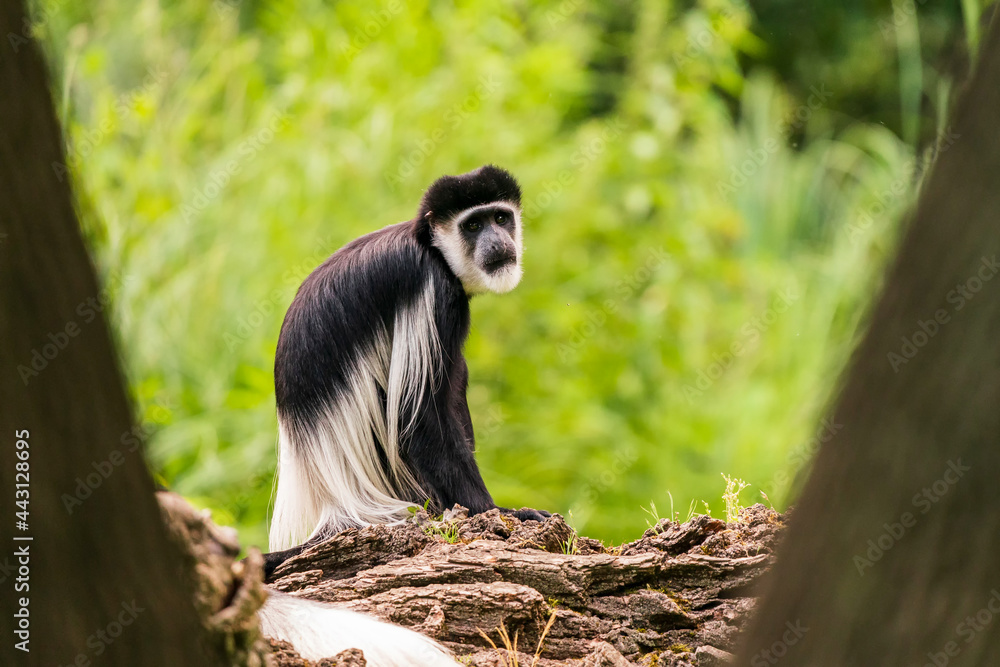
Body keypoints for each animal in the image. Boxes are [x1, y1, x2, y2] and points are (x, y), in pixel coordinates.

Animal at [262, 165, 550, 578]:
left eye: (500, 218)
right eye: (472, 225)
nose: (497, 242)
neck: (433, 250)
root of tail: (334, 505)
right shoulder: (432, 291)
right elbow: (419, 420)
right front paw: (497, 513)